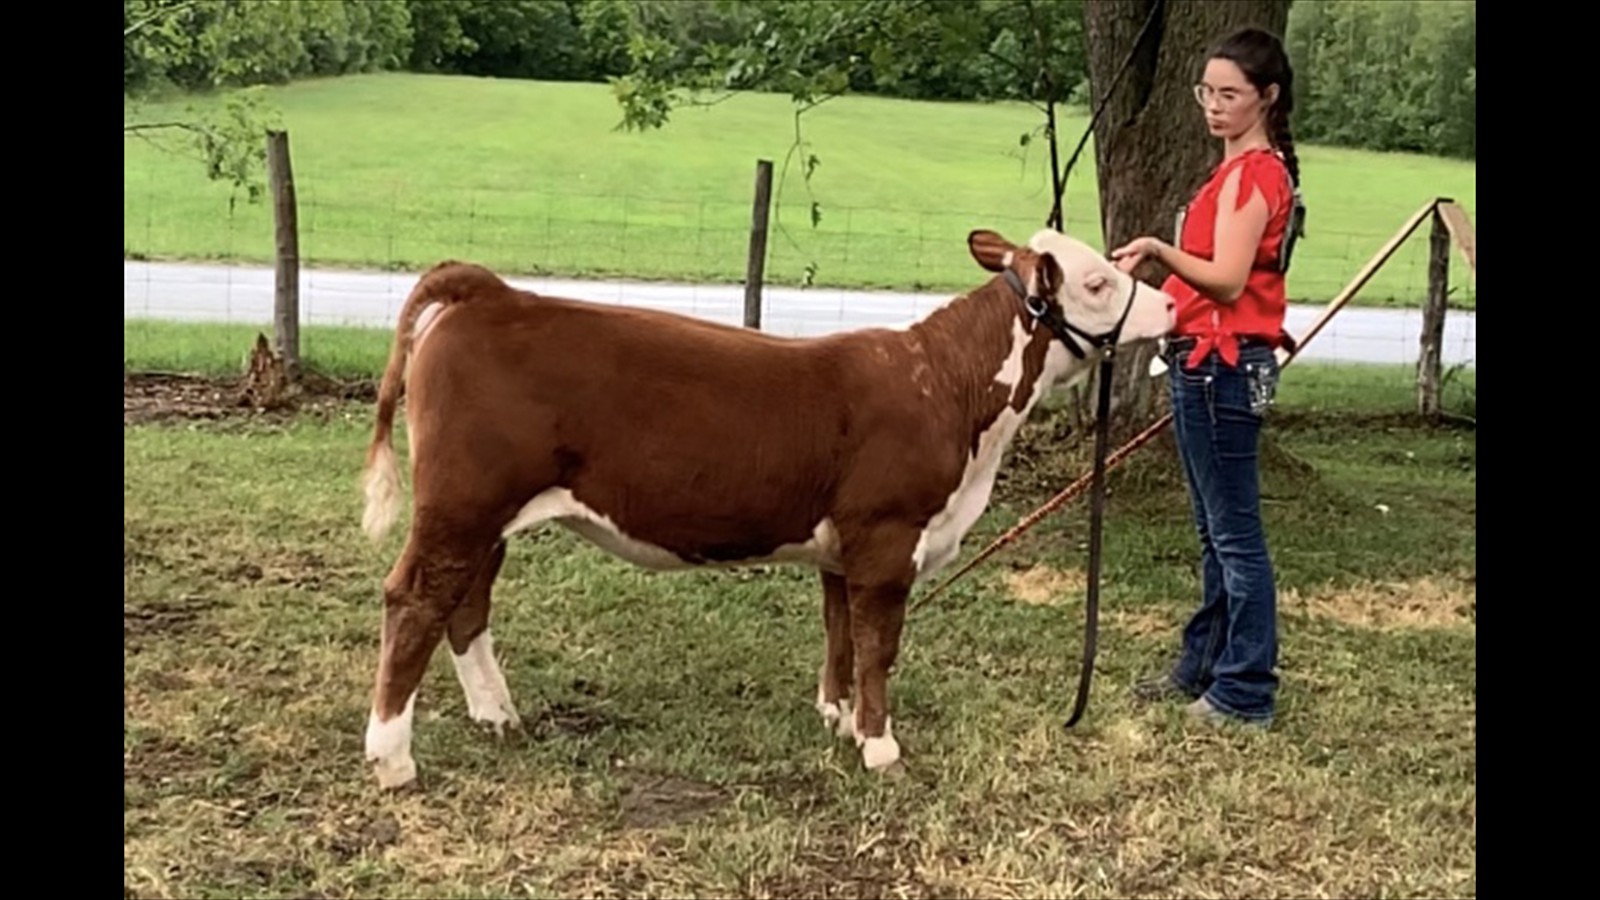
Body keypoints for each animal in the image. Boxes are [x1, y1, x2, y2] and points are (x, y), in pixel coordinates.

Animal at [356, 227, 1177, 790]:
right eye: (1098, 282)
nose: (1170, 300)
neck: (945, 386)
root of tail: (493, 293)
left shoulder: (845, 547)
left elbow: (840, 633)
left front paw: (839, 722)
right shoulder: (888, 537)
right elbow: (879, 646)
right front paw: (882, 748)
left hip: (486, 516)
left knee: (465, 606)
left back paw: (498, 717)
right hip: (461, 504)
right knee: (415, 600)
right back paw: (392, 757)